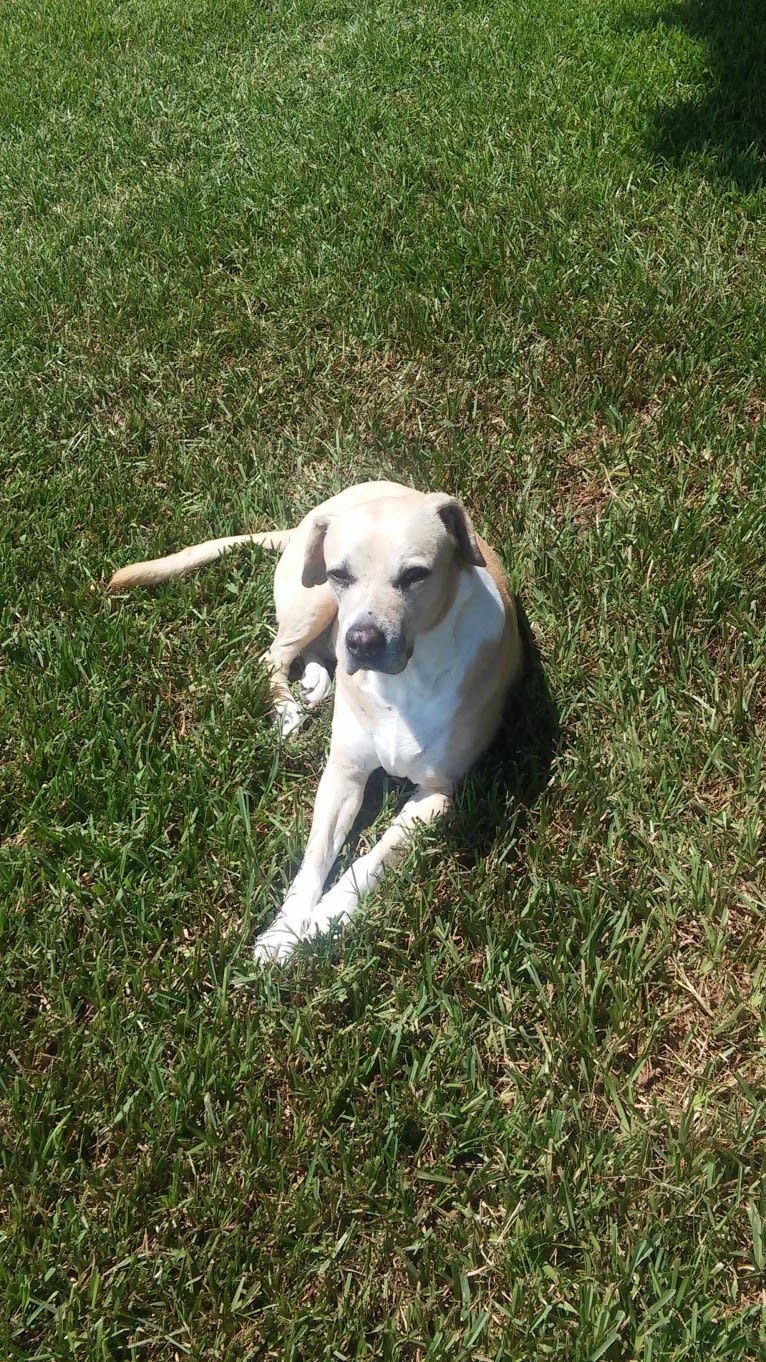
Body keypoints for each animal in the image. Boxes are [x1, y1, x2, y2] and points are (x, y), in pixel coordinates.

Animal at [109, 484, 523, 964]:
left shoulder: (437, 794)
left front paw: (328, 917)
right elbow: (314, 856)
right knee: (273, 655)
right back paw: (290, 705)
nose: (361, 642)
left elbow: (374, 858)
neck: (406, 681)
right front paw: (284, 931)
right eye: (341, 573)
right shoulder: (342, 775)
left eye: (416, 575)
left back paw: (316, 680)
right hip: (316, 600)